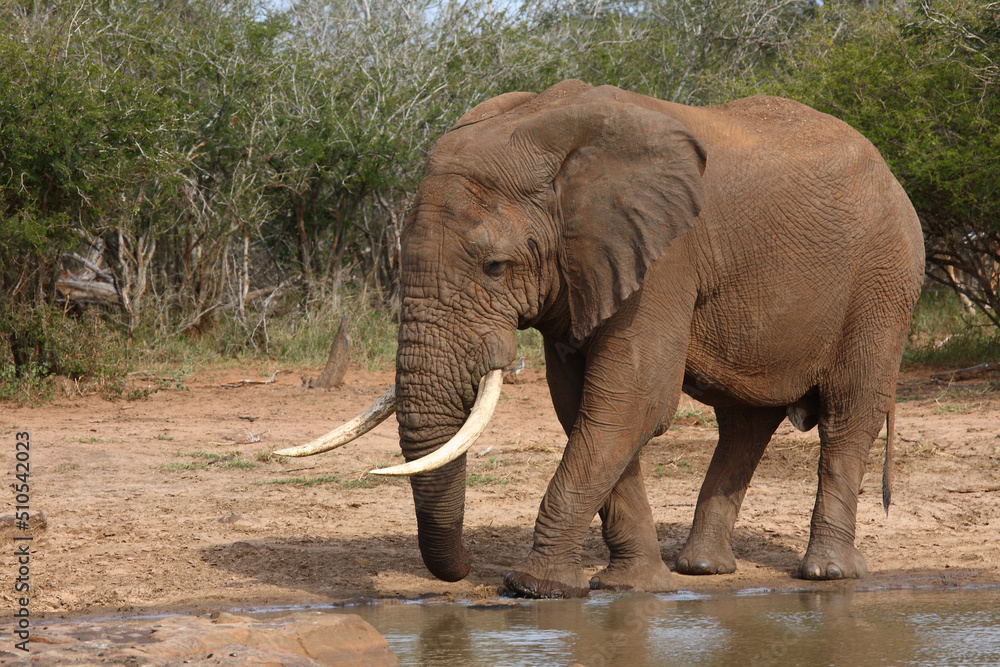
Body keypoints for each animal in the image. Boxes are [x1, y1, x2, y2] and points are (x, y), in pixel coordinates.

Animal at [276, 79, 925, 598]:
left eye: (495, 267)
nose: (463, 572)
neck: (549, 134)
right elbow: (585, 407)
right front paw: (628, 587)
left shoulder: (665, 258)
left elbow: (630, 402)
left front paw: (534, 589)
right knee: (745, 424)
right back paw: (701, 570)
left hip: (884, 281)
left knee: (848, 414)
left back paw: (827, 575)